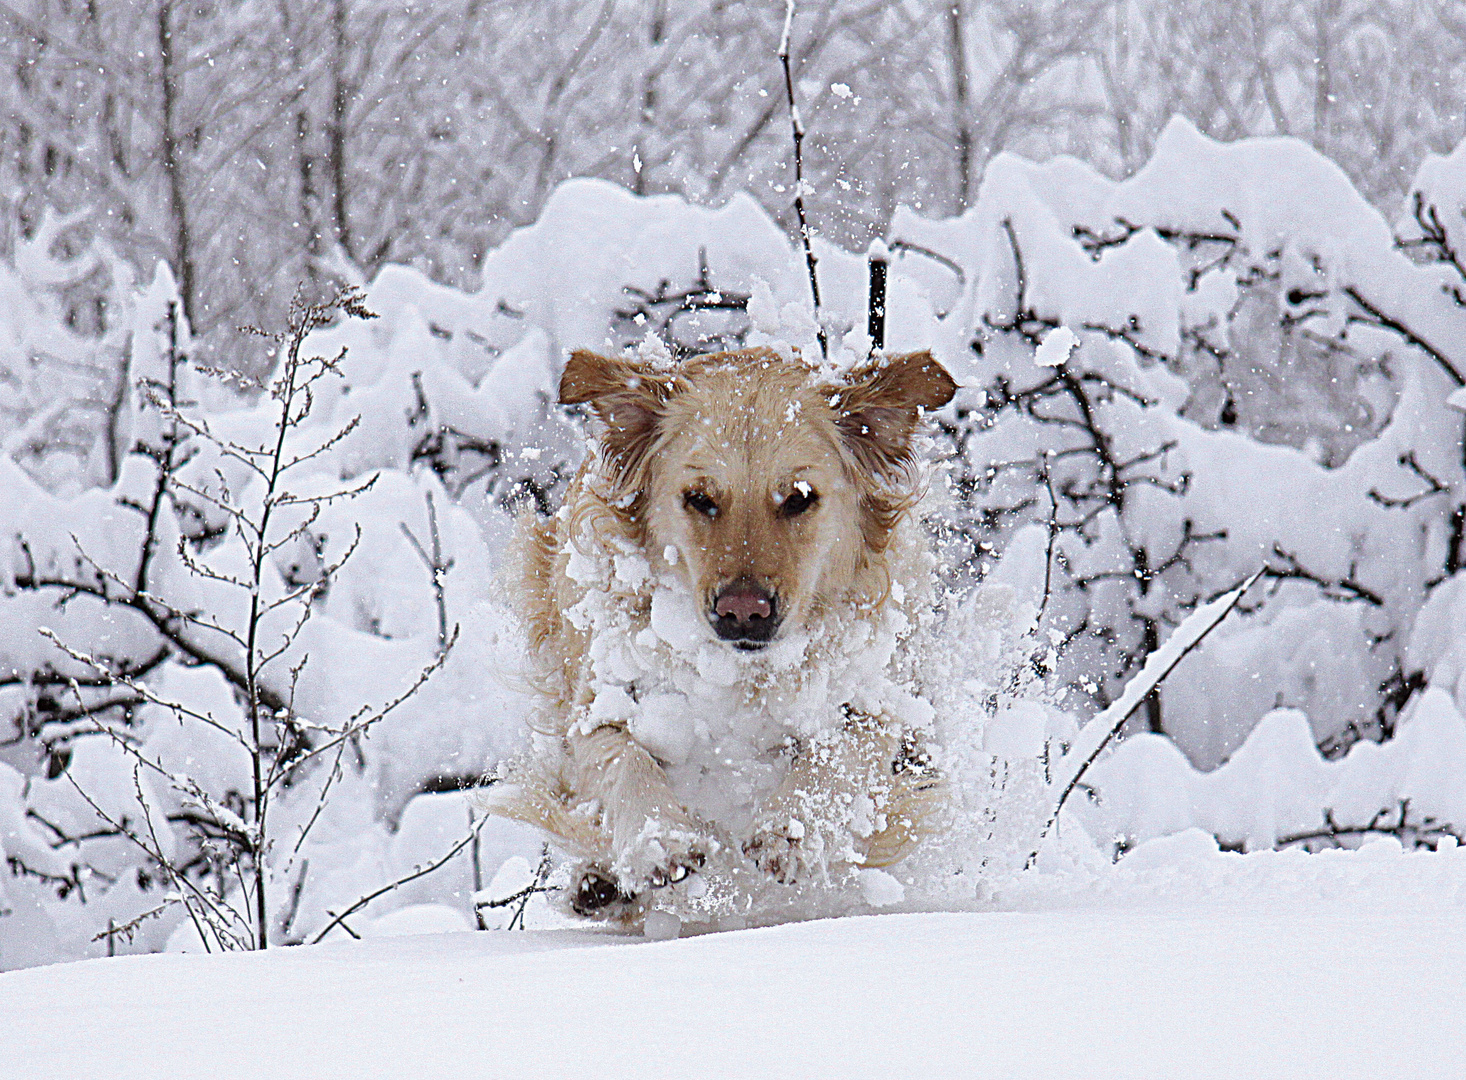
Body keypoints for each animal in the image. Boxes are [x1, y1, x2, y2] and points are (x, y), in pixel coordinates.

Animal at [486, 341, 955, 914]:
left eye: (799, 497)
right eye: (699, 498)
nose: (743, 611)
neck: (737, 673)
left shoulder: (881, 703)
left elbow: (839, 753)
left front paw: (787, 831)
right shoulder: (595, 705)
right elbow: (620, 755)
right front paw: (660, 840)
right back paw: (601, 882)